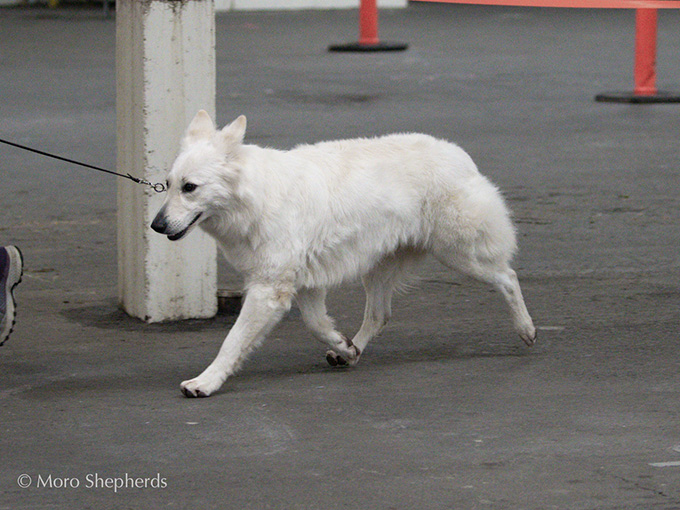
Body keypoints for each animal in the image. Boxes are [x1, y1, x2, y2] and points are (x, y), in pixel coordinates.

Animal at [150, 110, 536, 398]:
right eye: (167, 185)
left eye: (190, 188)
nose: (156, 225)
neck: (255, 197)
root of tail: (458, 153)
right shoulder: (302, 285)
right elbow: (317, 324)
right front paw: (343, 346)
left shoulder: (269, 289)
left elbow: (232, 342)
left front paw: (205, 382)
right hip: (378, 269)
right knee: (380, 315)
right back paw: (353, 353)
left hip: (459, 254)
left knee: (507, 277)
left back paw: (526, 329)